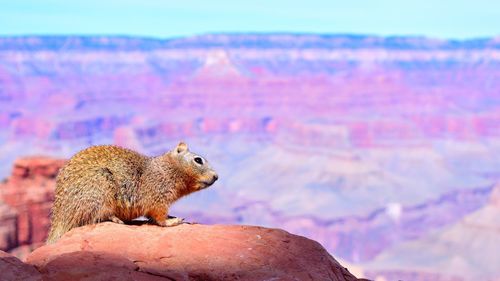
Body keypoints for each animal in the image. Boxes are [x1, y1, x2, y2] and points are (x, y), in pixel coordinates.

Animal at [46, 141, 217, 242]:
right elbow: (159, 216)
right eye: (198, 160)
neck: (167, 169)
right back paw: (115, 218)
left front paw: (172, 216)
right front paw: (173, 221)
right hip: (99, 187)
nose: (217, 176)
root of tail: (58, 219)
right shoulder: (157, 196)